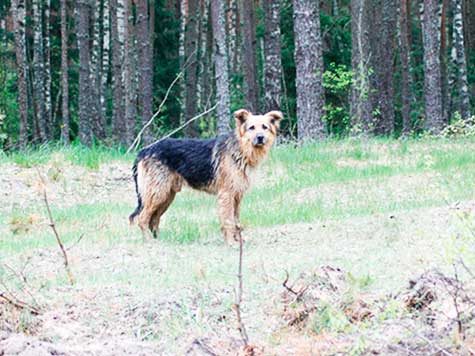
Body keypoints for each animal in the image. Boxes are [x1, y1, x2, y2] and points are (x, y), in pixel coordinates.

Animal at [129, 108, 282, 242]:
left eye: (265, 127)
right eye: (251, 128)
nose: (260, 137)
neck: (240, 149)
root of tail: (145, 150)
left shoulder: (237, 196)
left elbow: (236, 221)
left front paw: (238, 241)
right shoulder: (226, 195)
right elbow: (228, 221)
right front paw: (231, 243)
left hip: (166, 196)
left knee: (154, 220)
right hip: (157, 193)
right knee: (142, 218)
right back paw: (150, 241)